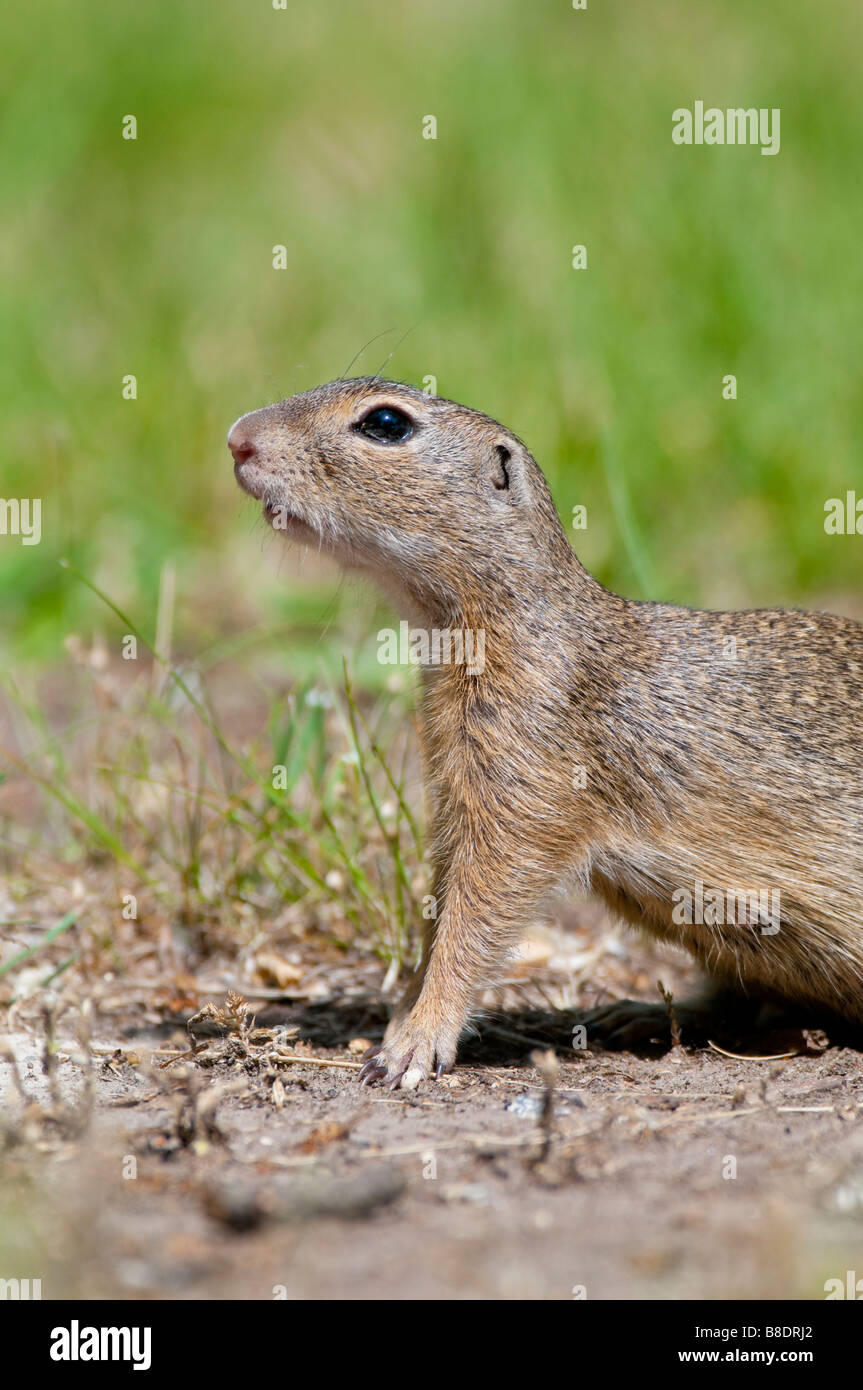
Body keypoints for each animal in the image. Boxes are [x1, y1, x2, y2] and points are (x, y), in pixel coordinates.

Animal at [229, 377, 863, 1089]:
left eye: (386, 423)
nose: (237, 437)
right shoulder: (457, 794)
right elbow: (438, 913)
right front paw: (398, 1021)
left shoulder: (527, 789)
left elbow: (476, 917)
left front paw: (415, 1043)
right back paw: (638, 1015)